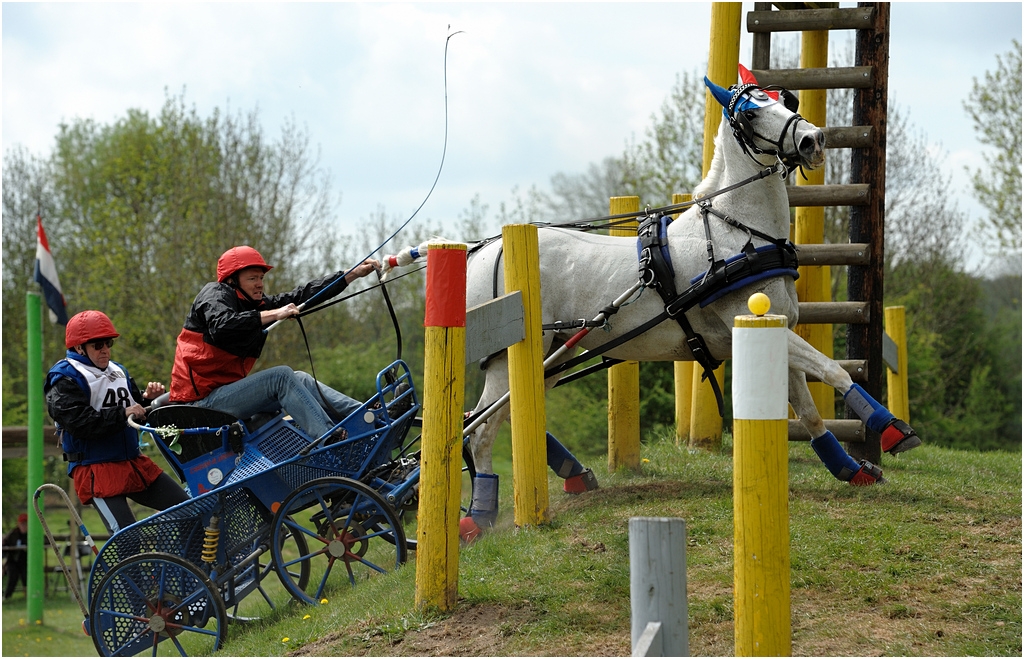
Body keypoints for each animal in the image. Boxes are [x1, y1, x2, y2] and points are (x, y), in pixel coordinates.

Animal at [384, 65, 921, 535]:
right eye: (750, 114)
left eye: (786, 100)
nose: (813, 140)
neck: (739, 235)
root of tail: (483, 248)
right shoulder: (752, 326)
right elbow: (833, 370)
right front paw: (892, 429)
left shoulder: (777, 331)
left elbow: (808, 411)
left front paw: (852, 469)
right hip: (510, 358)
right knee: (480, 430)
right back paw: (479, 517)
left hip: (550, 358)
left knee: (499, 417)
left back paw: (566, 479)